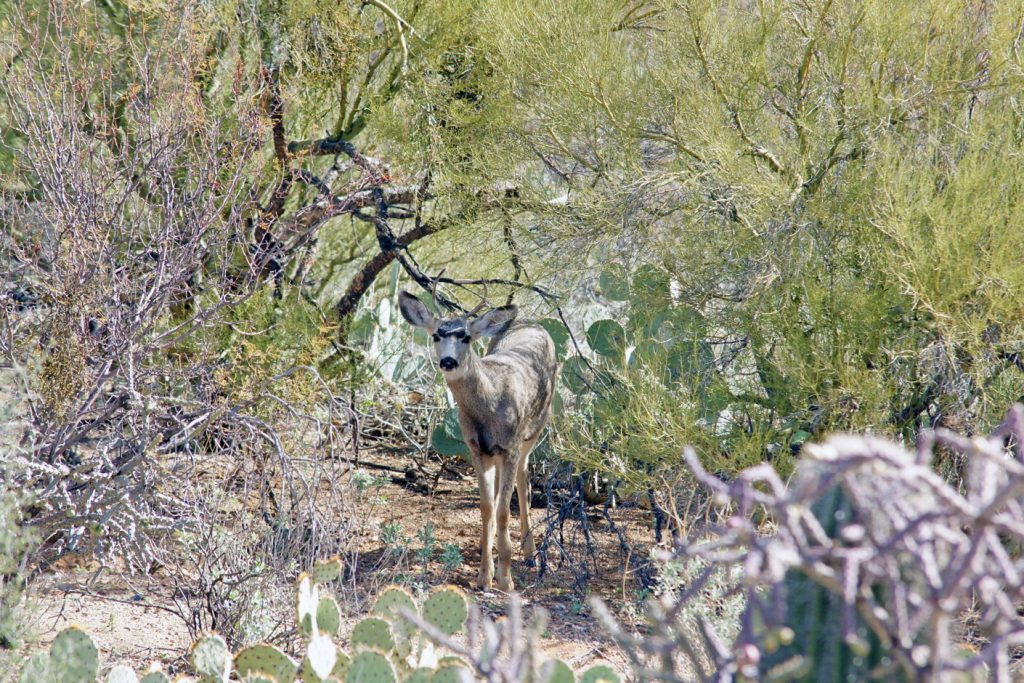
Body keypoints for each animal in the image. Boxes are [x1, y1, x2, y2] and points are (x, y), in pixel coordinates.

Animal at [399, 290, 561, 589]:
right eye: (436, 335)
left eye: (465, 336)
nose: (448, 361)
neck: (490, 405)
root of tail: (532, 322)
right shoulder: (476, 448)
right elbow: (487, 508)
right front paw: (485, 576)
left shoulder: (510, 446)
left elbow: (503, 510)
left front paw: (506, 579)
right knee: (501, 492)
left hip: (536, 426)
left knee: (524, 480)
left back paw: (530, 553)